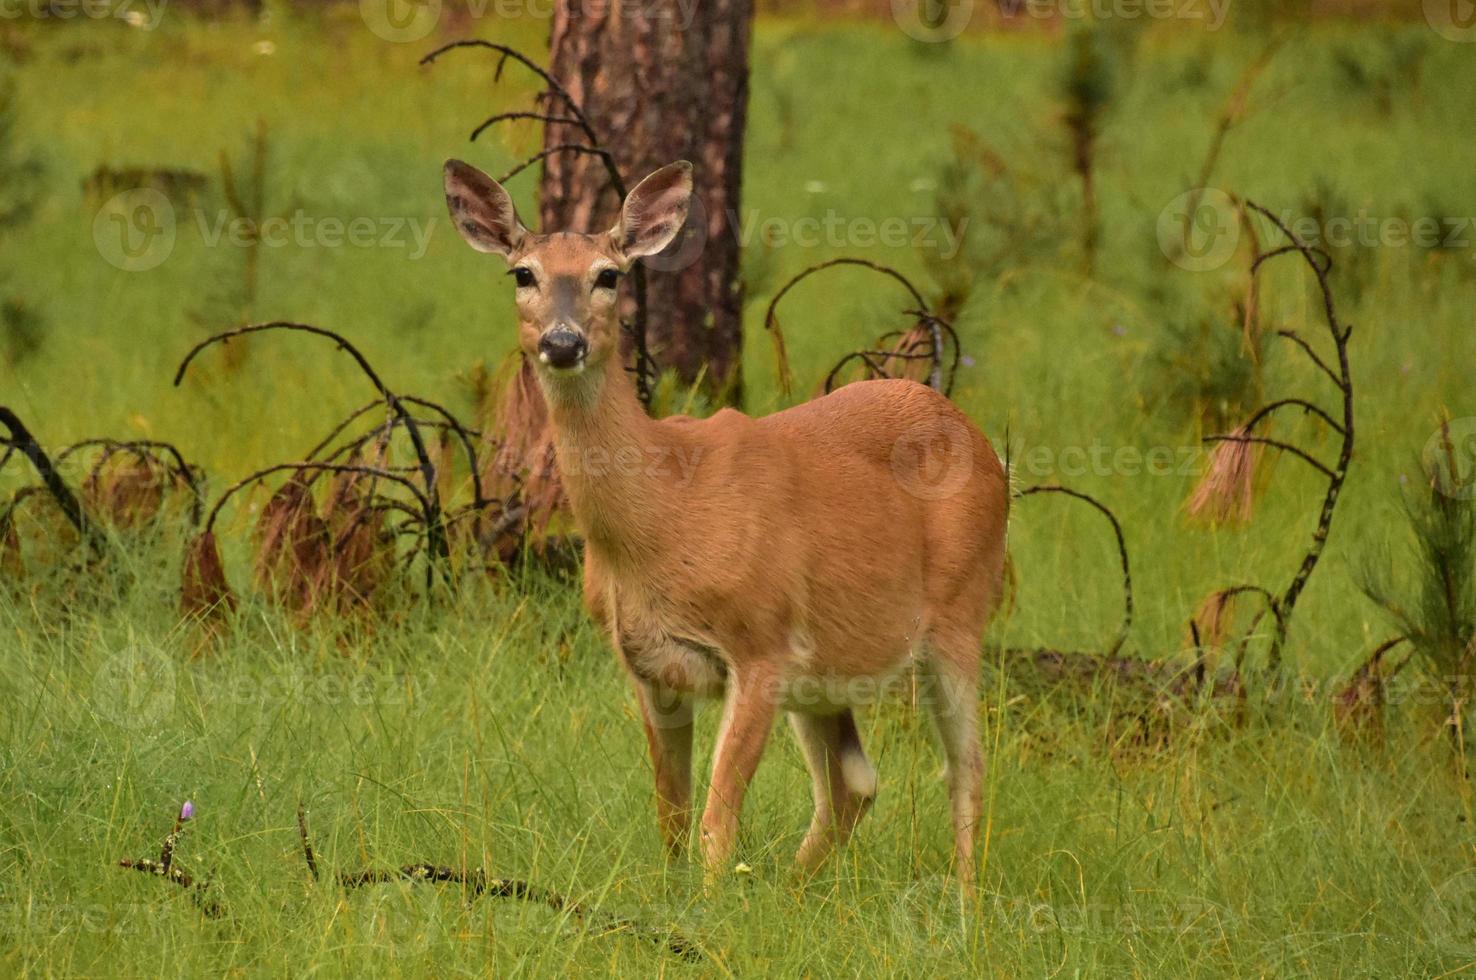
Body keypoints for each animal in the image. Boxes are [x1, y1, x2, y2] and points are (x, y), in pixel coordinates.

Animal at [442, 157, 1009, 891]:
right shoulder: (646, 665)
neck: (661, 518)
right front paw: (676, 897)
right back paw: (795, 891)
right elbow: (672, 814)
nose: (562, 343)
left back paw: (965, 904)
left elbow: (717, 819)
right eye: (522, 273)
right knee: (853, 784)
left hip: (959, 611)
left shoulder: (759, 643)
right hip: (824, 668)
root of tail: (981, 440)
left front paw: (709, 908)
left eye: (609, 275)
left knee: (965, 768)